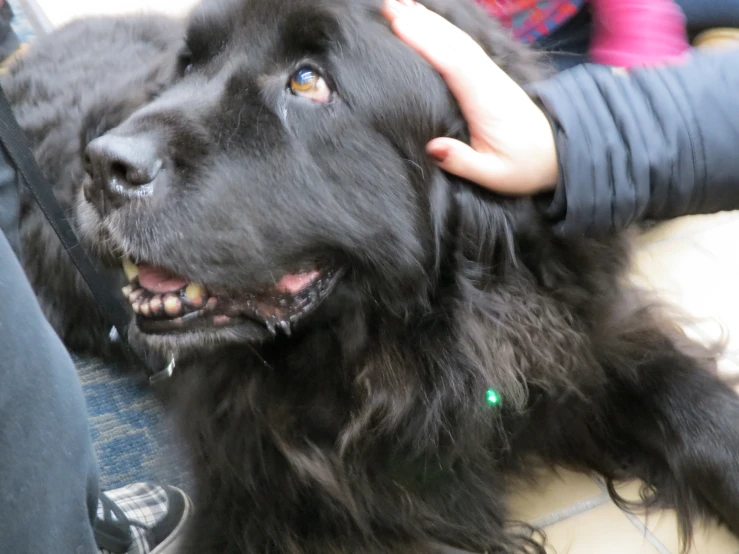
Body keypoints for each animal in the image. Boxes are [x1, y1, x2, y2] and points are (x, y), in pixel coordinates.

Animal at [5, 1, 739, 552]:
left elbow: (688, 400)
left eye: (308, 81)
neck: (401, 351)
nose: (104, 164)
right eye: (188, 66)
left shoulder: (566, 334)